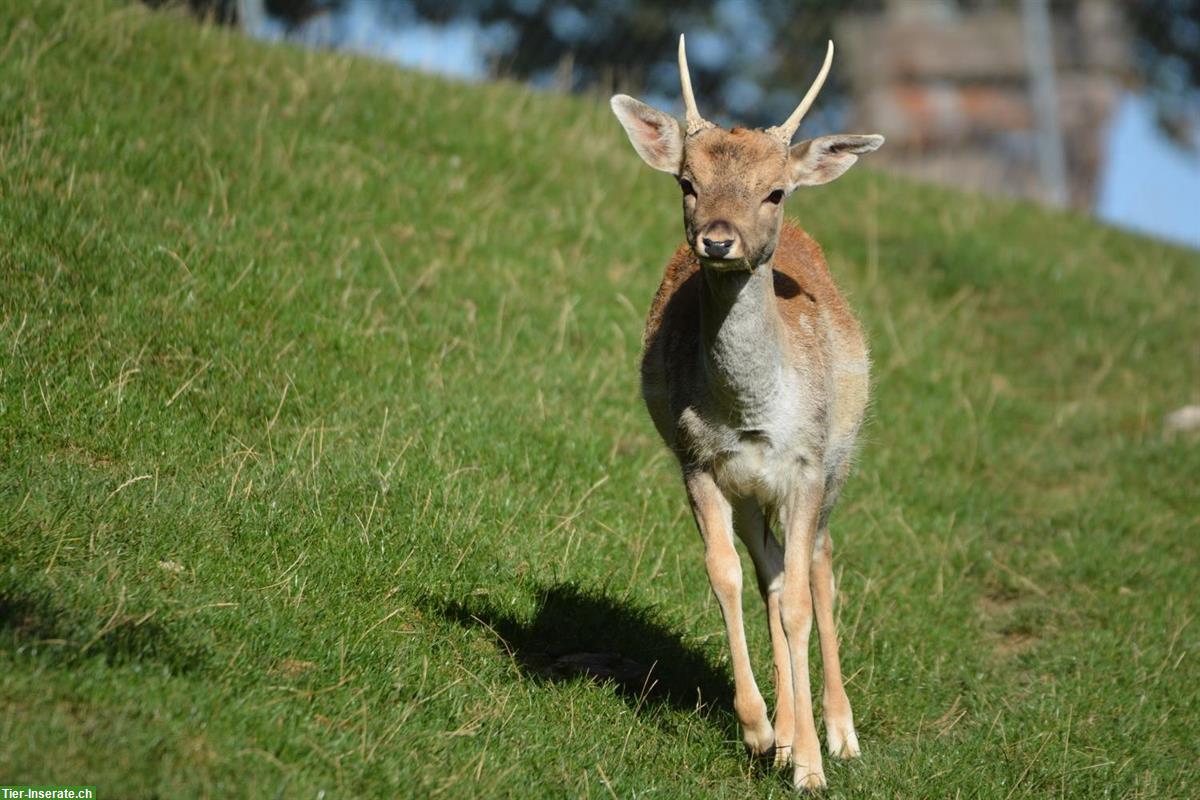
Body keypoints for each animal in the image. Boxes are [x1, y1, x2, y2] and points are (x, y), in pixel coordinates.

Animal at [609, 35, 883, 786]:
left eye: (775, 190)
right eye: (686, 182)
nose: (719, 239)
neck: (752, 415)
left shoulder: (807, 466)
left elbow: (801, 600)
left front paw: (813, 768)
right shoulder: (698, 461)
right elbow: (726, 575)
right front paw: (763, 732)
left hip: (838, 464)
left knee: (817, 567)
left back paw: (840, 731)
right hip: (754, 492)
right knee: (771, 573)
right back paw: (788, 732)